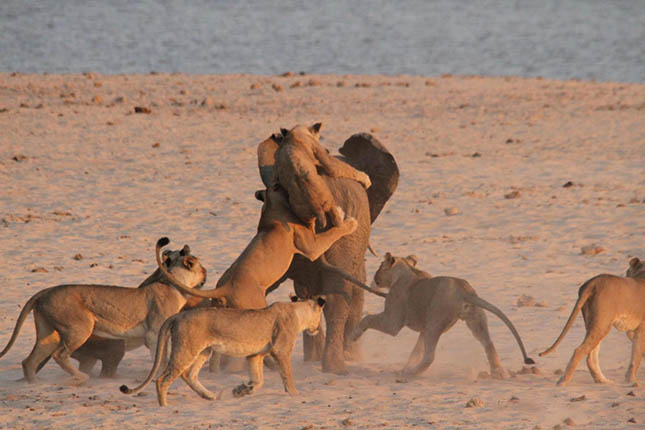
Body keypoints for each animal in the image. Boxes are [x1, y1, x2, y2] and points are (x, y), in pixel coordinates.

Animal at [0, 237, 206, 384]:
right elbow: (160, 359)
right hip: (80, 328)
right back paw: (82, 378)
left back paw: (35, 385)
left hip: (47, 333)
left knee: (29, 361)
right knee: (60, 355)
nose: (206, 274)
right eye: (201, 267)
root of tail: (45, 291)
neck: (173, 283)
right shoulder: (154, 334)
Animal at [120, 298, 324, 404]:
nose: (318, 329)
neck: (298, 312)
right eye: (321, 316)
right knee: (163, 379)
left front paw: (242, 390)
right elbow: (287, 376)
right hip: (187, 349)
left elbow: (259, 380)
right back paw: (164, 406)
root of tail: (178, 314)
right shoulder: (280, 351)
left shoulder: (254, 355)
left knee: (188, 374)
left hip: (203, 351)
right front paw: (295, 395)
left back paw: (209, 395)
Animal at [348, 254, 532, 378]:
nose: (374, 278)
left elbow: (368, 319)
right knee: (488, 343)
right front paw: (405, 366)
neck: (406, 269)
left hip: (435, 321)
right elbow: (416, 350)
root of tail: (464, 291)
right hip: (474, 319)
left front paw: (353, 335)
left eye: (380, 265)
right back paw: (498, 372)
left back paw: (411, 374)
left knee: (430, 356)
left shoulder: (392, 321)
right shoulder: (423, 328)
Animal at [540, 256, 644, 384]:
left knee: (591, 356)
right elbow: (636, 354)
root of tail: (592, 282)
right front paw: (632, 381)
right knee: (580, 351)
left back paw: (603, 381)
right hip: (602, 324)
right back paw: (563, 382)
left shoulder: (632, 330)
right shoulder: (641, 327)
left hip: (594, 323)